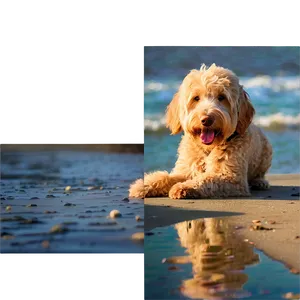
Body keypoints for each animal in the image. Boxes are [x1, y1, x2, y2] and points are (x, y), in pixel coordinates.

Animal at [129, 63, 272, 199]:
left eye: (222, 97)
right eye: (196, 98)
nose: (206, 119)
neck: (207, 149)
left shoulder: (231, 178)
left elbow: (206, 179)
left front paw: (183, 187)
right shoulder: (185, 170)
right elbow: (165, 177)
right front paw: (142, 185)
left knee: (260, 174)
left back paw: (259, 182)